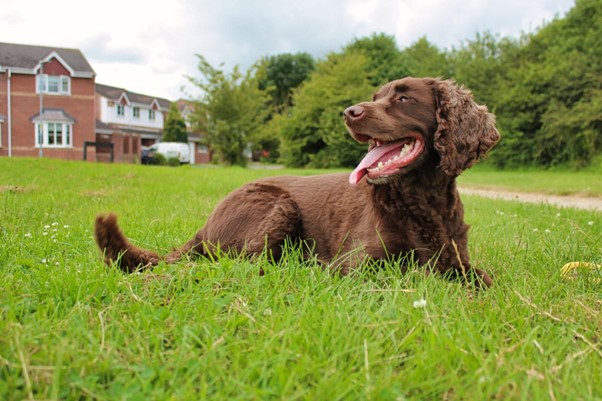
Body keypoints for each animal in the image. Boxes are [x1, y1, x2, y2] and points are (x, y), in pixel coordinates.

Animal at [94, 76, 496, 284]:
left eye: (404, 98)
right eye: (376, 97)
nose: (349, 112)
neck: (419, 200)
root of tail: (205, 224)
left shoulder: (457, 259)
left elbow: (484, 280)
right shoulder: (357, 265)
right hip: (278, 204)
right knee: (245, 264)